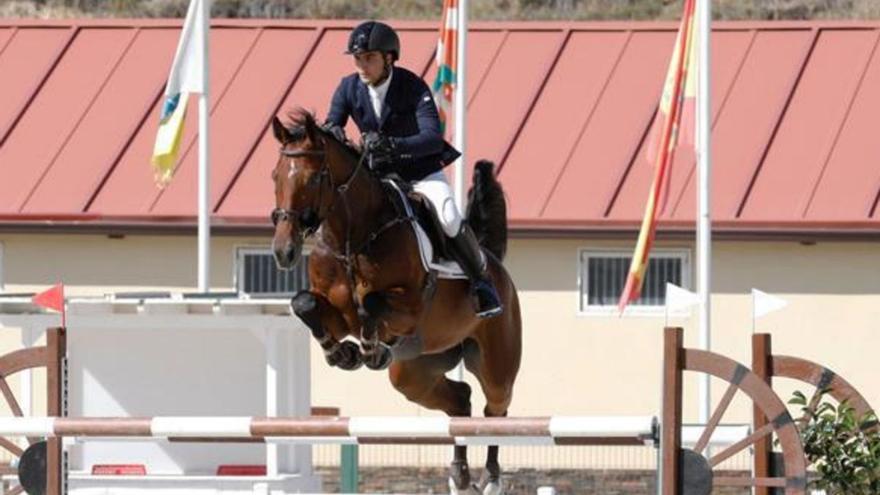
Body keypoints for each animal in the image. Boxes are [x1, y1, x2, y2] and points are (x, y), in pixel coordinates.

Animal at [268, 109, 524, 495]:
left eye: (313, 179)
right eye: (275, 177)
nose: (284, 252)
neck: (350, 238)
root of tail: (492, 262)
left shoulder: (410, 307)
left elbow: (372, 303)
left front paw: (370, 349)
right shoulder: (337, 315)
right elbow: (304, 304)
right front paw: (342, 353)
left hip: (496, 361)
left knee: (496, 411)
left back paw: (491, 478)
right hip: (414, 373)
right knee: (460, 400)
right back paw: (460, 474)